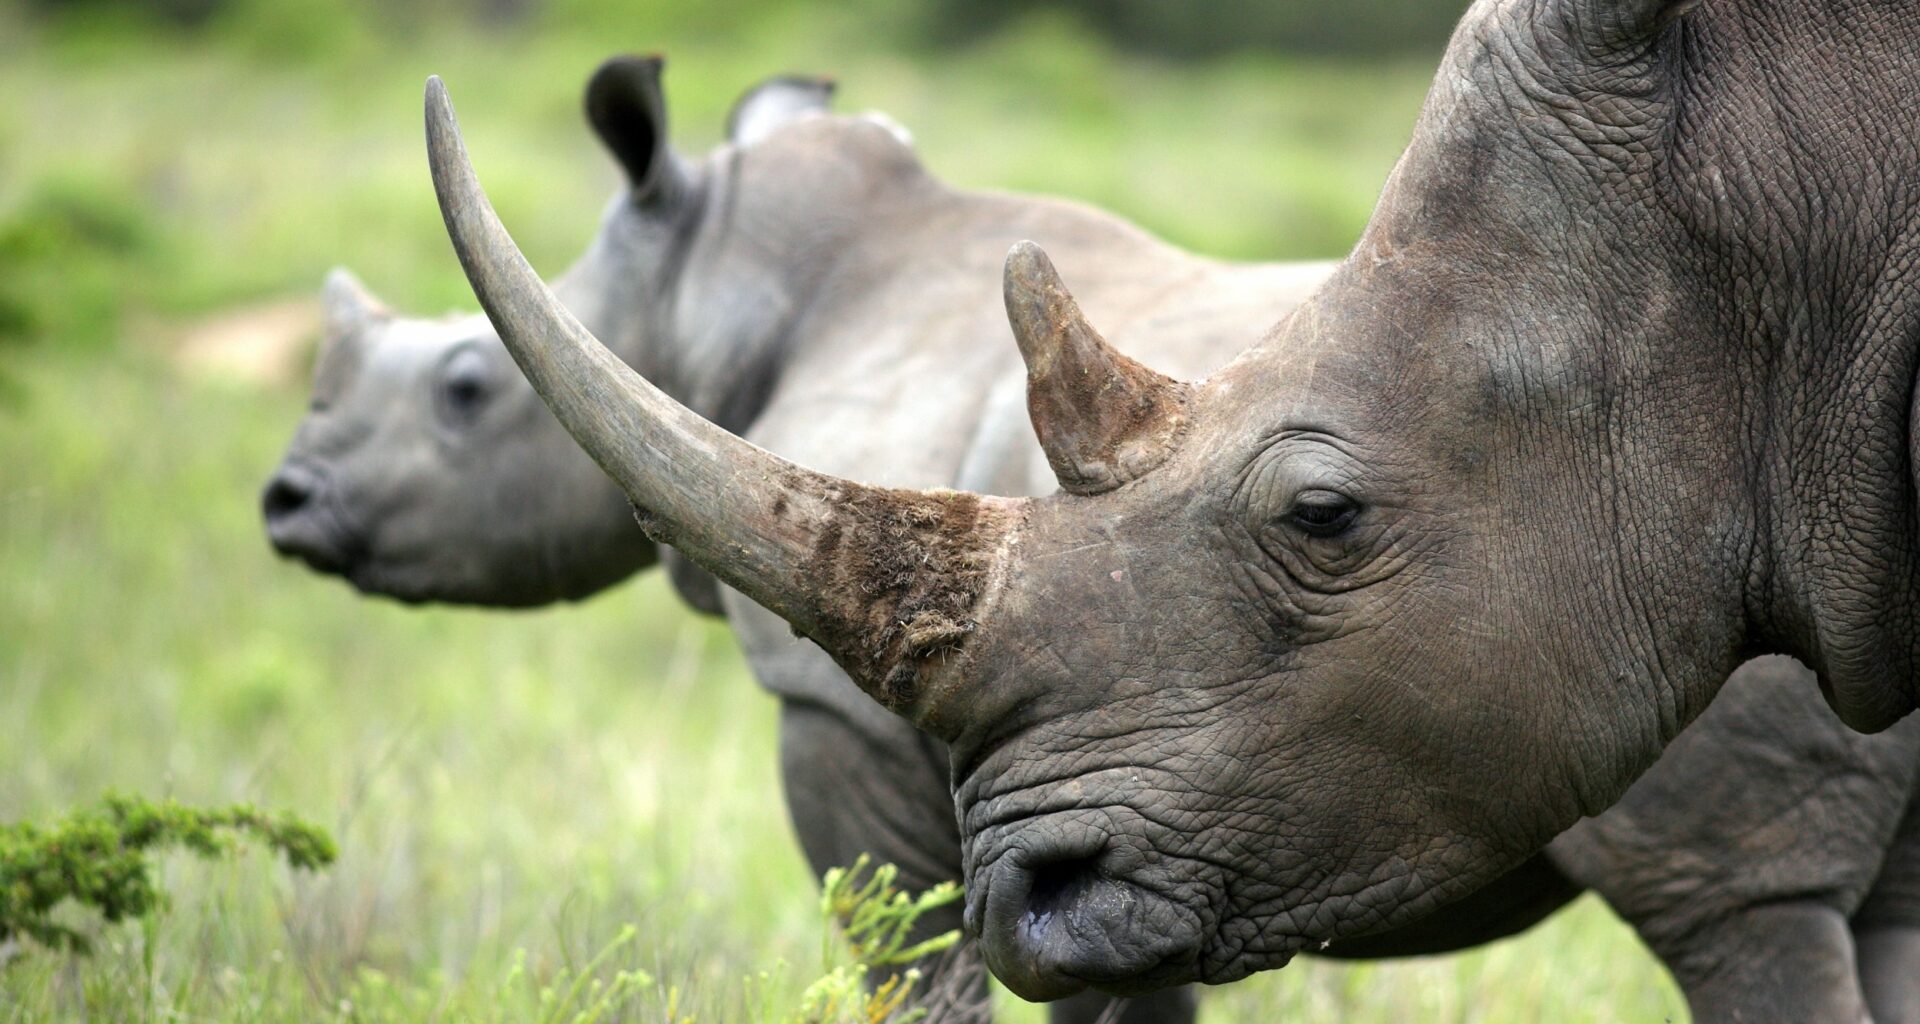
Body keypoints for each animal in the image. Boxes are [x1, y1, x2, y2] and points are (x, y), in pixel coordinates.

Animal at [273, 55, 1920, 1020]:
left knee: (1735, 906)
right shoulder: (1118, 812)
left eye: (465, 389)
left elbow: (915, 959)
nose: (284, 502)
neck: (710, 288)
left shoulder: (848, 725)